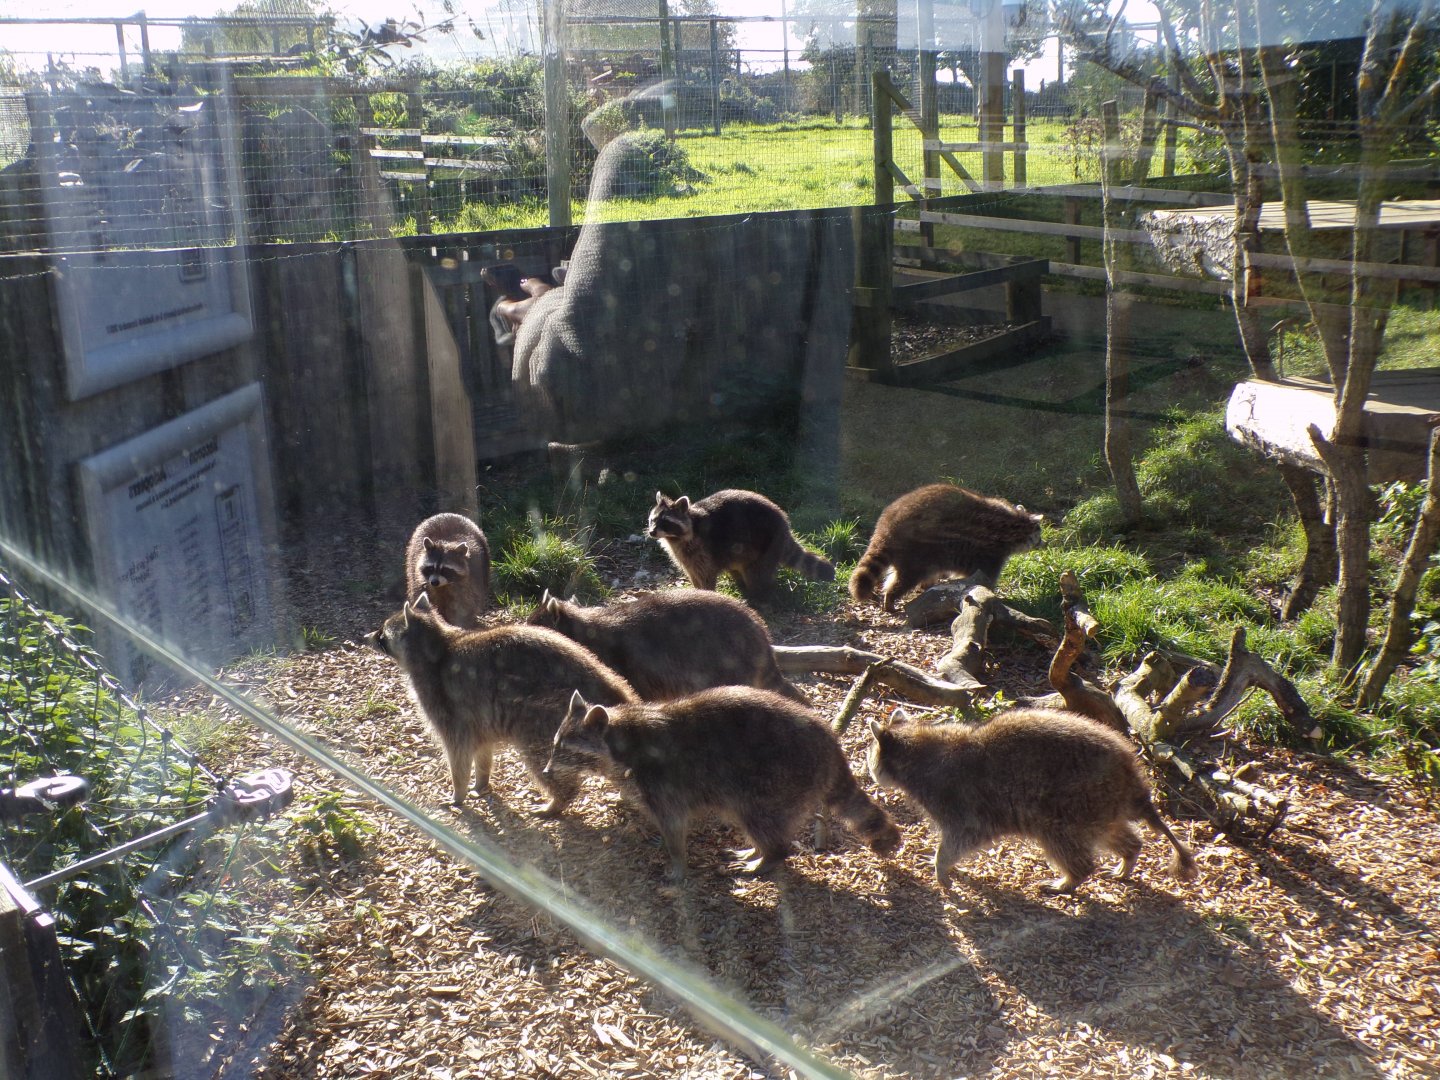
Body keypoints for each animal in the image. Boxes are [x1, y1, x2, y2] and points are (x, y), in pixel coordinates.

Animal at [366, 592, 637, 813]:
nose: (367, 636)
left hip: (545, 717)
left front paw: (458, 793)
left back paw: (559, 801)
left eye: (382, 633)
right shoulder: (478, 717)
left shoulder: (445, 704)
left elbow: (458, 753)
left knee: (542, 757)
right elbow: (483, 750)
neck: (438, 646)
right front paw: (481, 781)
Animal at [547, 686, 901, 880]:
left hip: (775, 780)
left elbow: (674, 823)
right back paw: (758, 849)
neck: (619, 739)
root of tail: (831, 747)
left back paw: (769, 855)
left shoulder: (661, 784)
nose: (548, 771)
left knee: (759, 819)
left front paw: (678, 861)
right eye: (555, 745)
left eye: (567, 751)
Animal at [646, 489, 835, 602]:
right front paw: (696, 591)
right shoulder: (686, 557)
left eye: (665, 522)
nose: (652, 532)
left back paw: (758, 597)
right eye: (653, 520)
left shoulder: (703, 550)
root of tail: (785, 525)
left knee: (757, 574)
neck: (675, 537)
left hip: (765, 544)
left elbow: (706, 575)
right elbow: (693, 574)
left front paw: (706, 594)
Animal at [850, 484, 1043, 612]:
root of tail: (887, 526)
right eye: (1039, 536)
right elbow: (984, 577)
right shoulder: (990, 553)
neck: (1015, 524)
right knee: (905, 579)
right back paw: (890, 598)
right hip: (916, 551)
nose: (1044, 543)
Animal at [867, 707, 1196, 893]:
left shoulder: (958, 802)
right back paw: (1129, 854)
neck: (918, 747)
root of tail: (1132, 777)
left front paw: (941, 866)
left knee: (1066, 845)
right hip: (1100, 809)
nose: (866, 769)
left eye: (870, 756)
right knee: (1115, 834)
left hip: (1070, 805)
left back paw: (1071, 879)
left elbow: (959, 840)